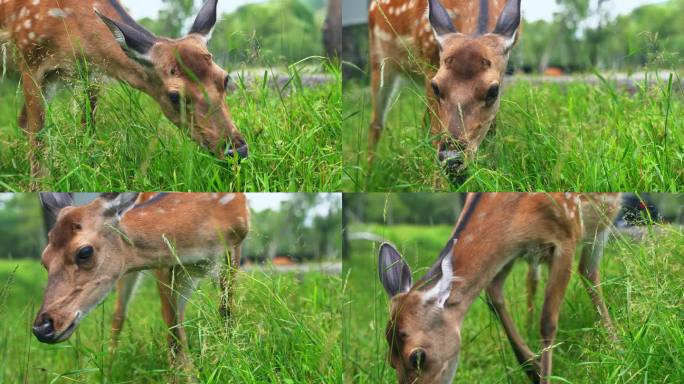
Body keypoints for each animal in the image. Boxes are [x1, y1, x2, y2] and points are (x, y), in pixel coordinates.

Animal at [0, 0, 248, 180]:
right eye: (174, 96)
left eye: (224, 78)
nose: (237, 150)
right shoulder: (29, 60)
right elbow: (38, 139)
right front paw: (39, 185)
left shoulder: (93, 74)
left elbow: (87, 128)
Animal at [34, 192, 248, 372]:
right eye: (44, 260)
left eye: (85, 252)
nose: (42, 328)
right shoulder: (164, 264)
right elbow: (174, 332)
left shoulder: (236, 241)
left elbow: (226, 310)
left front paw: (230, 355)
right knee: (119, 315)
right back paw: (108, 370)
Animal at [368, 0, 524, 184]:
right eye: (436, 86)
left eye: (493, 91)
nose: (451, 158)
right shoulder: (428, 60)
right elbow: (435, 132)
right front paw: (439, 183)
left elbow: (492, 130)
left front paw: (491, 170)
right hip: (379, 57)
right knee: (377, 123)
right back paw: (367, 176)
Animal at [376, 194, 624, 382]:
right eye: (390, 360)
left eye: (417, 357)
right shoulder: (511, 251)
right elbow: (494, 295)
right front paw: (533, 368)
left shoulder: (567, 234)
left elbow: (548, 322)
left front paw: (543, 374)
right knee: (571, 273)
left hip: (604, 218)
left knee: (589, 271)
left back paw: (615, 344)